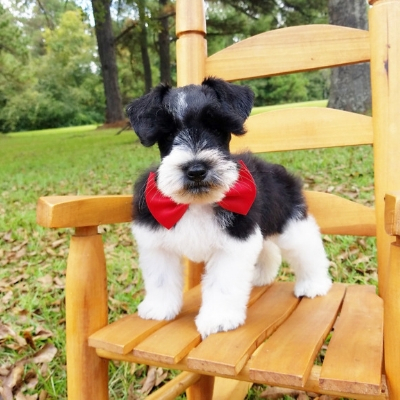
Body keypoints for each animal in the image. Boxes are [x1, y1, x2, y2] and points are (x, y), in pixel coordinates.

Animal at [126, 77, 332, 338]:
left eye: (217, 128)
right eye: (168, 133)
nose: (196, 170)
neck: (196, 203)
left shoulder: (234, 243)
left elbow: (222, 284)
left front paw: (218, 318)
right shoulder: (157, 243)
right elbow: (160, 278)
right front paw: (159, 307)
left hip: (290, 224)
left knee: (307, 250)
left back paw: (314, 283)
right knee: (268, 250)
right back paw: (260, 277)